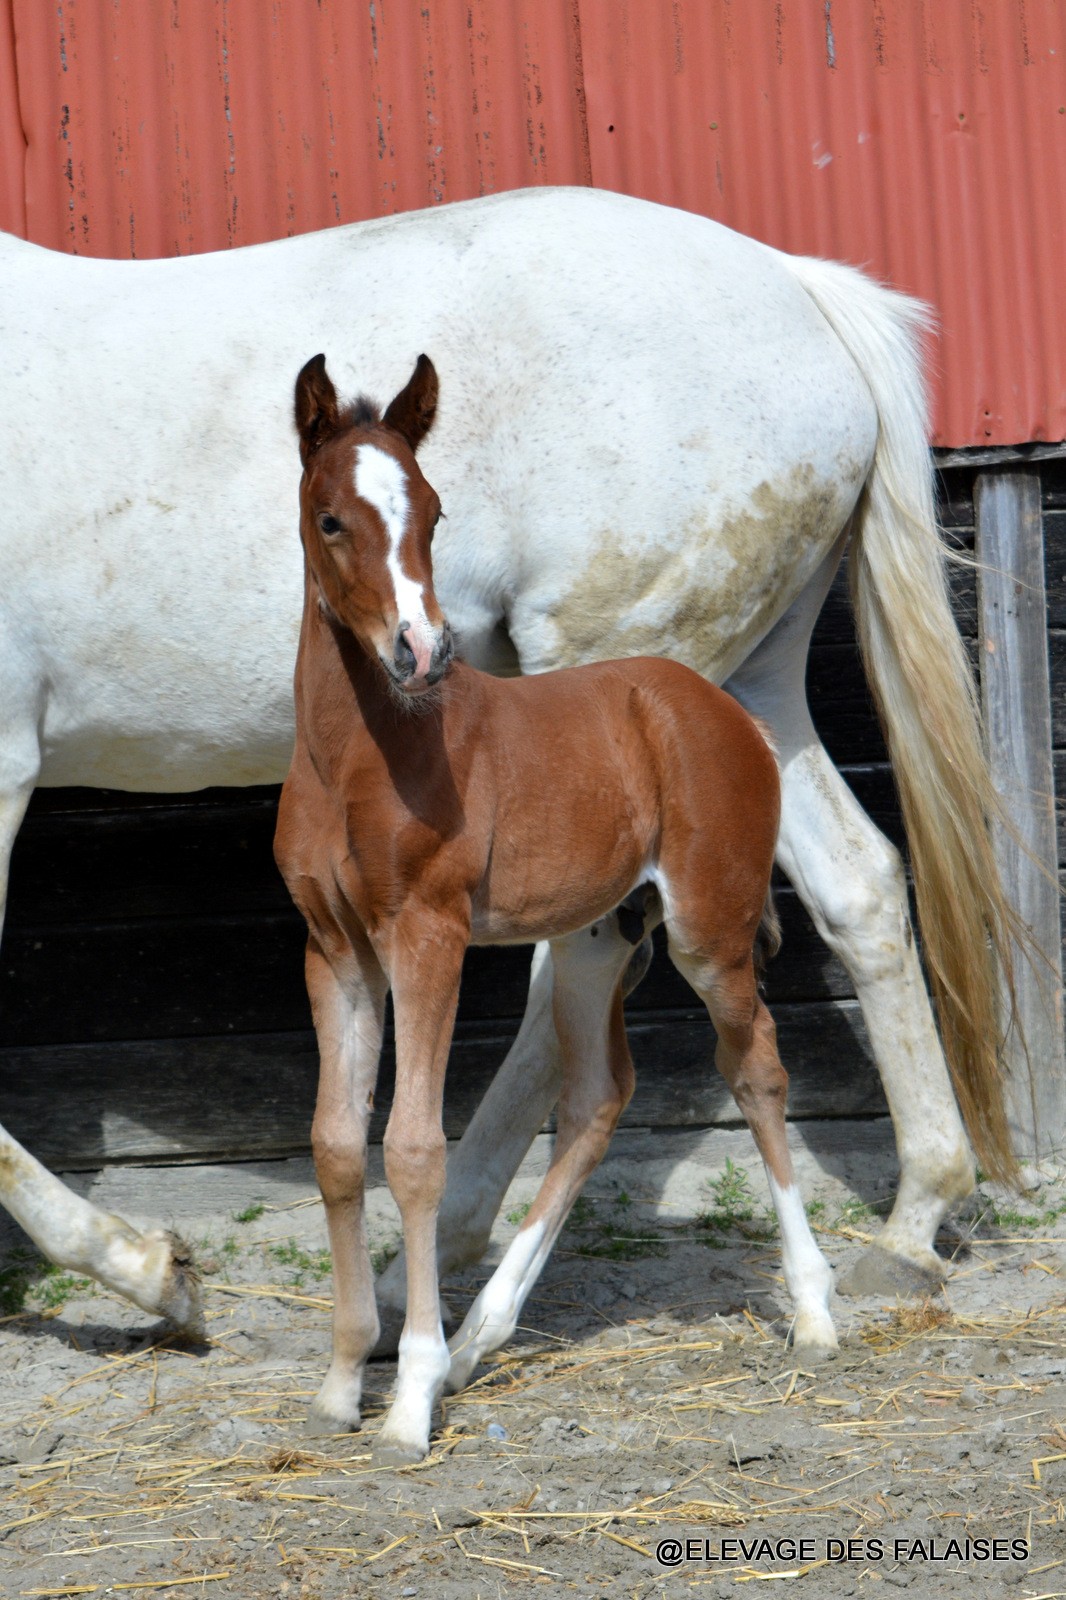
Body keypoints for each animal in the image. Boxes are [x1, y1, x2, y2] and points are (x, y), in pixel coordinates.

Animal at [2, 181, 1011, 1344]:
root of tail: (800, 288)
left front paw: (146, 1269)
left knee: (580, 981)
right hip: (742, 694)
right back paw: (913, 1220)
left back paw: (436, 1265)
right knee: (858, 884)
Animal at [275, 350, 838, 1465]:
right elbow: (335, 1144)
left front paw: (406, 1399)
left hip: (709, 933)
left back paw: (812, 1309)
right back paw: (481, 1338)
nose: (422, 651)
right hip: (593, 938)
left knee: (756, 1069)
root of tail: (718, 709)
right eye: (331, 519)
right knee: (596, 1098)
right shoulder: (335, 951)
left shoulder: (429, 936)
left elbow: (412, 1150)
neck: (356, 751)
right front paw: (342, 1379)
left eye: (434, 513)